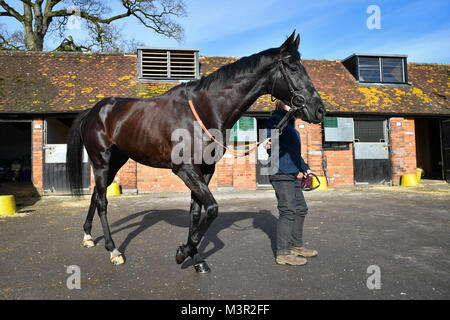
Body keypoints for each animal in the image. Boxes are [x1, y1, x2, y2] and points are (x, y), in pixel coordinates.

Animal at [67, 30, 326, 272]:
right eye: (293, 67)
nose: (319, 109)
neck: (205, 109)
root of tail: (94, 111)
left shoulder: (205, 169)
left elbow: (196, 212)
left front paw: (196, 257)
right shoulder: (185, 169)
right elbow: (211, 208)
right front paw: (183, 252)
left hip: (116, 161)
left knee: (96, 195)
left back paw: (88, 236)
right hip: (101, 161)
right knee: (102, 202)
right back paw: (113, 250)